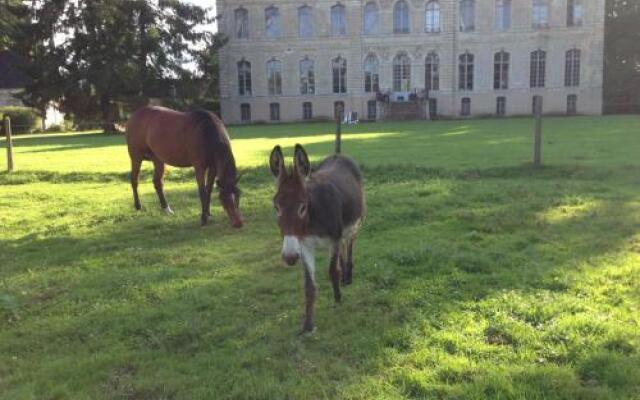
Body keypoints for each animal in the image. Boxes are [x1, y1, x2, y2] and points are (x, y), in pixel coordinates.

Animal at [268, 145, 364, 332]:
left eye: (303, 207)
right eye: (276, 207)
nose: (290, 257)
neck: (312, 219)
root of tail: (338, 155)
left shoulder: (333, 239)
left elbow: (332, 271)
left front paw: (338, 299)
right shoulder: (305, 245)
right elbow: (309, 286)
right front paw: (308, 325)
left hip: (355, 223)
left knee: (349, 243)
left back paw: (348, 275)